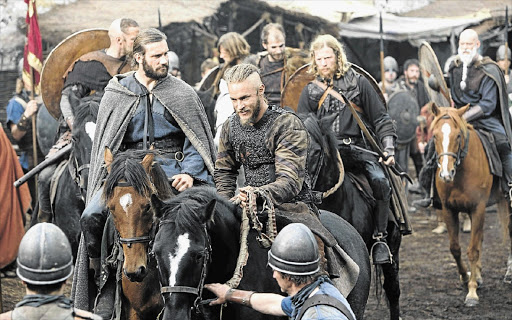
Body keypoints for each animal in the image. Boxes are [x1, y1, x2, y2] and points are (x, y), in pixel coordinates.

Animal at [432, 104, 512, 306]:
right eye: (435, 135)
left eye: (458, 136)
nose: (446, 174)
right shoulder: (449, 209)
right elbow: (455, 248)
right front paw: (466, 277)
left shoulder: (478, 208)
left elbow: (473, 250)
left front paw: (472, 292)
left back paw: (508, 273)